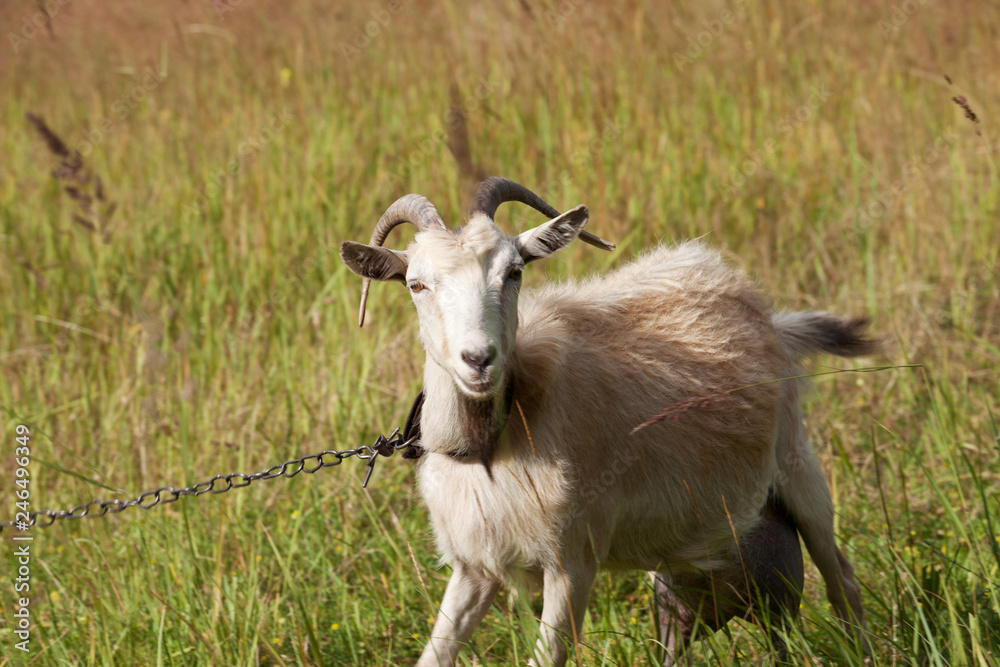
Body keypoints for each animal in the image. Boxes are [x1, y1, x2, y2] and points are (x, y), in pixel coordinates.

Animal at [340, 177, 874, 666]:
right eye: (416, 284)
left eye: (515, 272)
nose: (478, 359)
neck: (497, 441)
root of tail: (770, 318)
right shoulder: (474, 565)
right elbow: (435, 654)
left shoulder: (572, 562)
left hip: (798, 465)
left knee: (842, 581)